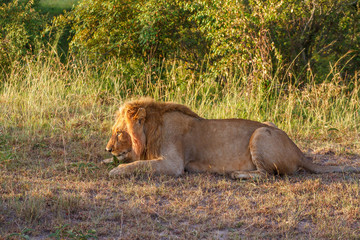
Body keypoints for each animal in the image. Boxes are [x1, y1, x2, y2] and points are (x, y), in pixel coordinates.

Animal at [105, 97, 360, 178]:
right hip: (267, 124)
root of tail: (299, 152)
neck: (153, 129)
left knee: (267, 175)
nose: (108, 148)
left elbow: (139, 165)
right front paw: (109, 160)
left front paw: (115, 170)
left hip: (260, 134)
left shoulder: (174, 164)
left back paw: (238, 174)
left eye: (119, 133)